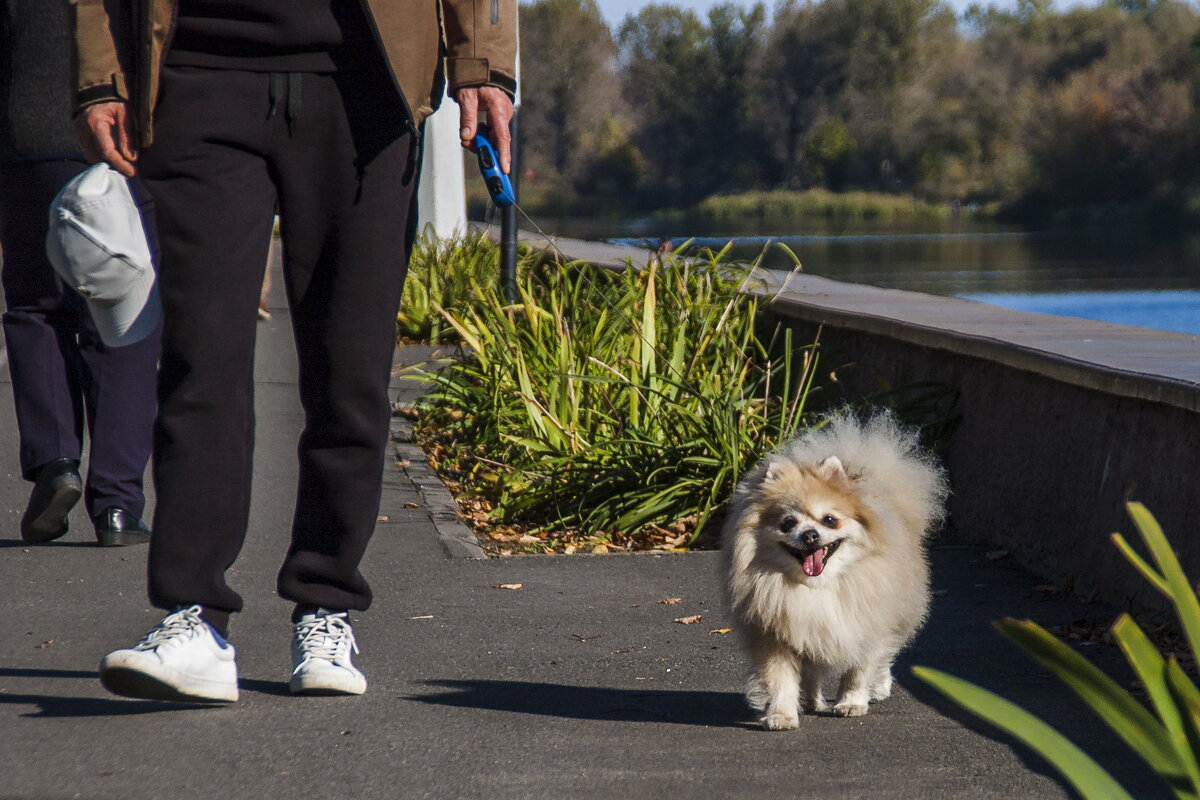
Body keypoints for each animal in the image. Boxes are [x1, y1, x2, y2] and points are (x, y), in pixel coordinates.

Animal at [715, 412, 950, 734]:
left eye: (829, 520)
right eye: (788, 523)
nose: (810, 535)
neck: (817, 587)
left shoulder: (865, 625)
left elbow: (859, 670)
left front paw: (851, 702)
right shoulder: (778, 634)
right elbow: (782, 679)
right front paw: (783, 714)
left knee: (884, 658)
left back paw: (878, 687)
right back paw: (811, 701)